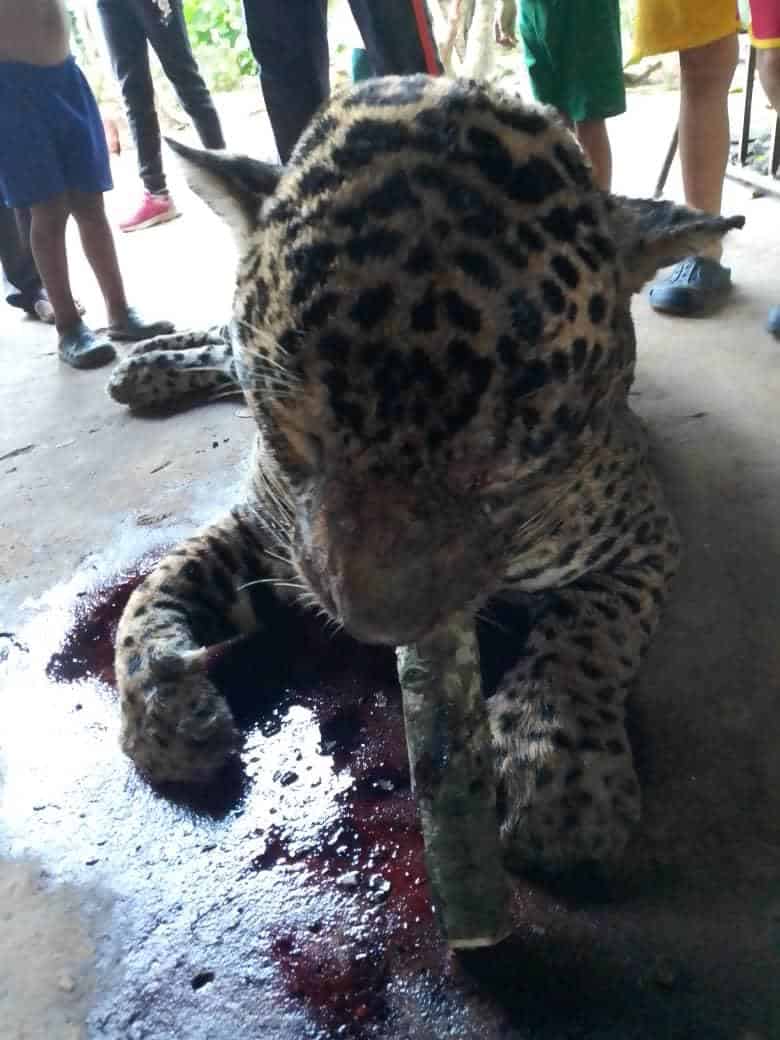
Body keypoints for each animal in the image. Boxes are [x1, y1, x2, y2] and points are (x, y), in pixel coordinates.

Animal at [112, 75, 743, 873]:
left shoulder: (643, 533)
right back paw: (142, 365)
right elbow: (146, 597)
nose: (374, 631)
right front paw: (163, 715)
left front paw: (563, 779)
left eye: (507, 468)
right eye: (293, 437)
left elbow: (591, 635)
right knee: (220, 340)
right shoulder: (267, 528)